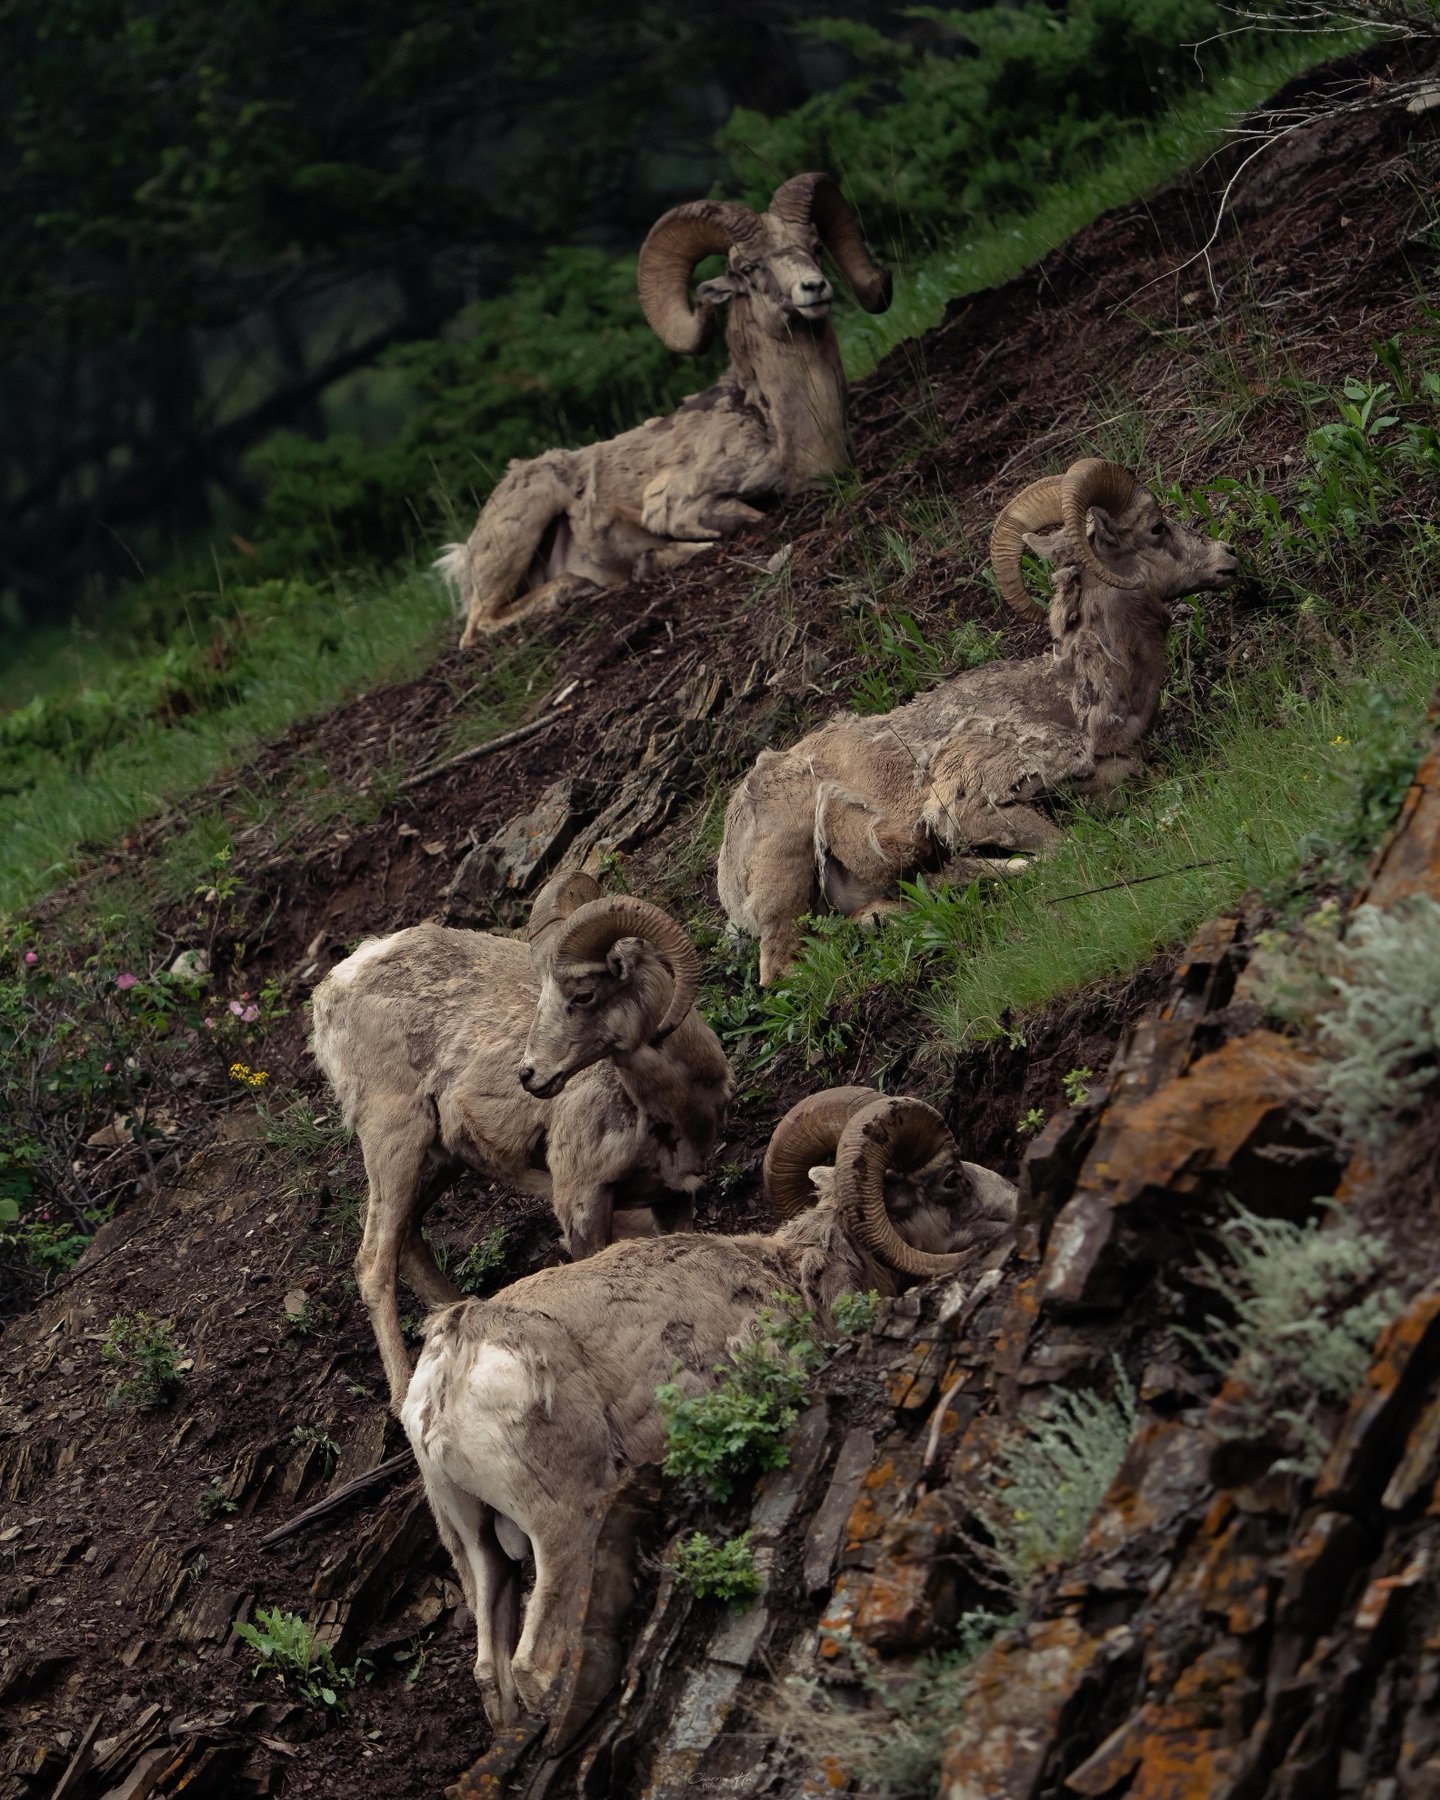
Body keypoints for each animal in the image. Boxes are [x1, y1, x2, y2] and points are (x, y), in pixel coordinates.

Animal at [311, 874, 733, 1413]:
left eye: (582, 995)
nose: (530, 1075)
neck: (667, 1108)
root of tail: (333, 987)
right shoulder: (581, 1202)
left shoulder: (673, 1199)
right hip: (394, 1143)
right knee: (374, 1264)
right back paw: (403, 1394)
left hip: (437, 1162)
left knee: (409, 1243)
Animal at [402, 1087, 1017, 1728]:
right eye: (951, 1180)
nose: (1014, 1197)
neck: (801, 1280)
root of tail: (452, 1360)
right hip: (566, 1527)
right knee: (537, 1666)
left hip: (479, 1547)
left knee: (492, 1675)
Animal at [436, 171, 890, 643]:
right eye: (748, 268)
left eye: (815, 246)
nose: (813, 288)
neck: (787, 433)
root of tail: (464, 554)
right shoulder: (678, 505)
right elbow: (746, 516)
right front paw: (655, 559)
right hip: (525, 520)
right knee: (478, 628)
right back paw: (579, 585)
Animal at [717, 457, 1239, 981]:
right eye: (1156, 527)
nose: (1228, 557)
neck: (1079, 710)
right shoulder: (975, 803)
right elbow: (1063, 847)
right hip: (787, 868)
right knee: (784, 968)